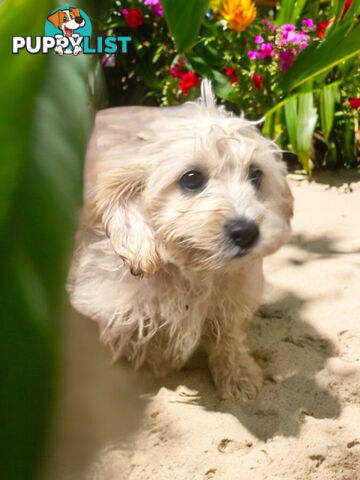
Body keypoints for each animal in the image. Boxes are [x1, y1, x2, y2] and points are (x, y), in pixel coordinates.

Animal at [67, 81, 292, 402]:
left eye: (256, 175)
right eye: (191, 179)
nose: (246, 232)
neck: (189, 271)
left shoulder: (231, 297)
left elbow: (229, 336)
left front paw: (238, 375)